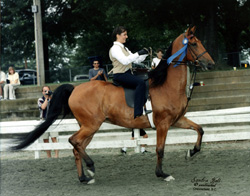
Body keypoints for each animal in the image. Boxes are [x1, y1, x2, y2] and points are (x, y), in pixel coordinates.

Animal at [12, 26, 214, 184]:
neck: (166, 85)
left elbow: (200, 129)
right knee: (74, 141)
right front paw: (162, 174)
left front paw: (191, 152)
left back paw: (84, 178)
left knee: (77, 147)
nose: (211, 64)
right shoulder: (163, 124)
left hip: (89, 127)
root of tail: (75, 89)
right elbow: (160, 149)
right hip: (91, 125)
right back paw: (90, 167)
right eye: (194, 44)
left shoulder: (177, 120)